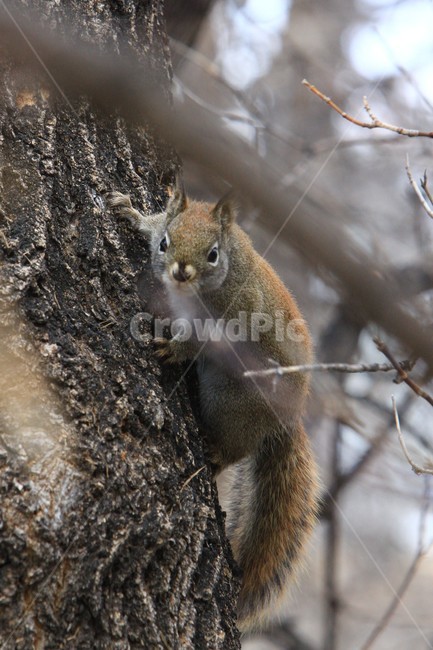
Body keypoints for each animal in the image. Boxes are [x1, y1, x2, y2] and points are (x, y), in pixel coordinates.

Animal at [106, 185, 320, 632]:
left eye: (213, 254)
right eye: (166, 242)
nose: (180, 272)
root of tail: (287, 418)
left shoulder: (227, 319)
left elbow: (195, 342)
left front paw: (171, 348)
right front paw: (131, 212)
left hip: (233, 404)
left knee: (236, 448)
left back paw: (217, 454)